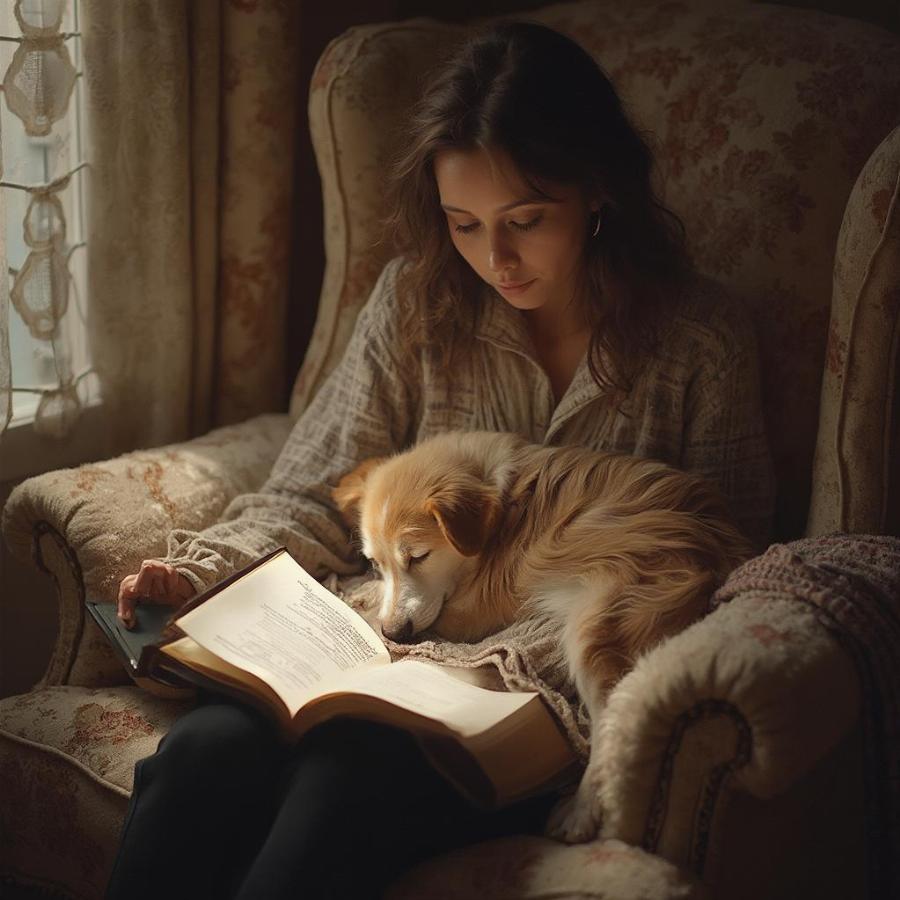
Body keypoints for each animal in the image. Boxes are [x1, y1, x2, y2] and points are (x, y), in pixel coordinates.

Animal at [330, 432, 752, 840]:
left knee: (611, 719)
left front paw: (357, 606)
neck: (504, 505)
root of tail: (720, 549)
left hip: (599, 623)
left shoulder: (478, 608)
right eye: (375, 562)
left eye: (418, 557)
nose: (395, 632)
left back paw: (582, 809)